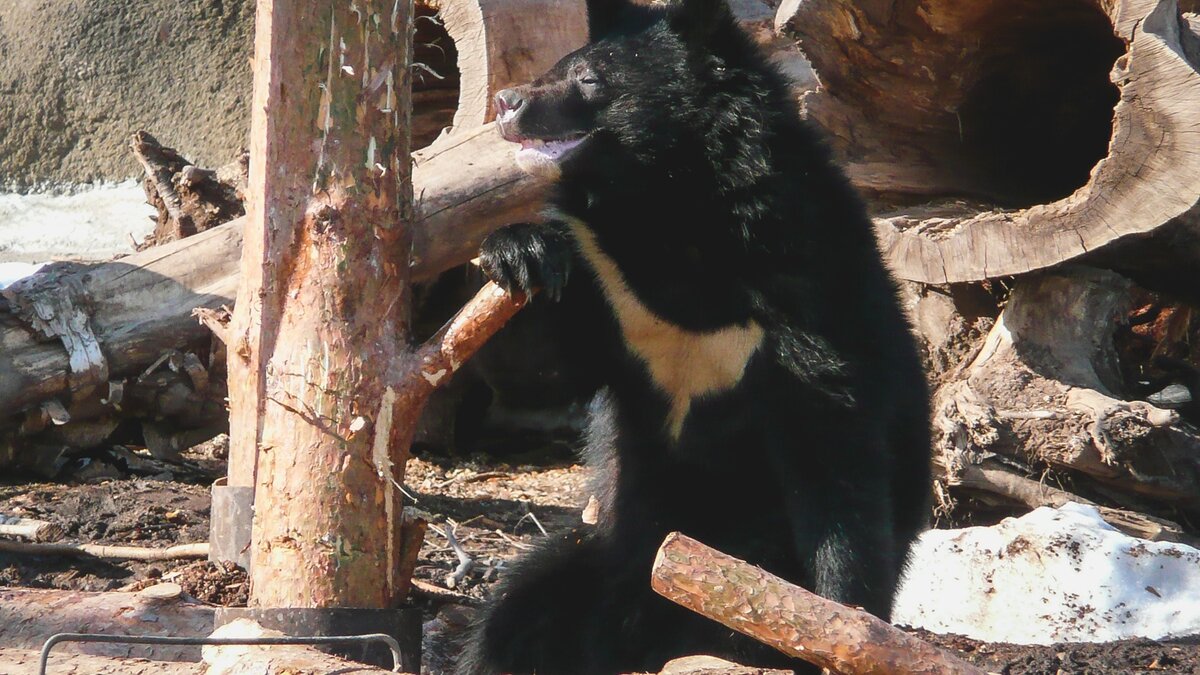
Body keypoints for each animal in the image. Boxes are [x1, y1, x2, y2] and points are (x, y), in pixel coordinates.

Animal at [456, 0, 932, 672]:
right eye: (556, 66)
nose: (506, 101)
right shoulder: (611, 288)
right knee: (518, 613)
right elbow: (545, 370)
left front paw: (837, 620)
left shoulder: (807, 287)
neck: (668, 210)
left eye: (591, 80)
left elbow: (836, 462)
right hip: (607, 555)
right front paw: (519, 252)